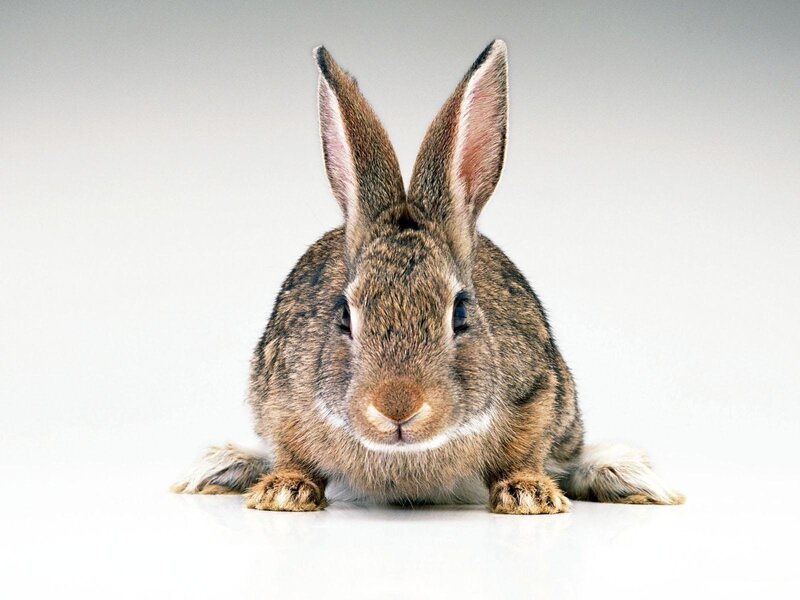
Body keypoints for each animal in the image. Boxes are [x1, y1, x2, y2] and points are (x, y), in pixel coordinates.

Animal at [172, 40, 684, 514]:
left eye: (460, 313)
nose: (398, 407)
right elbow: (291, 451)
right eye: (344, 316)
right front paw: (284, 492)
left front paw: (528, 496)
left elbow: (525, 453)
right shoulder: (280, 398)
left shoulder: (539, 394)